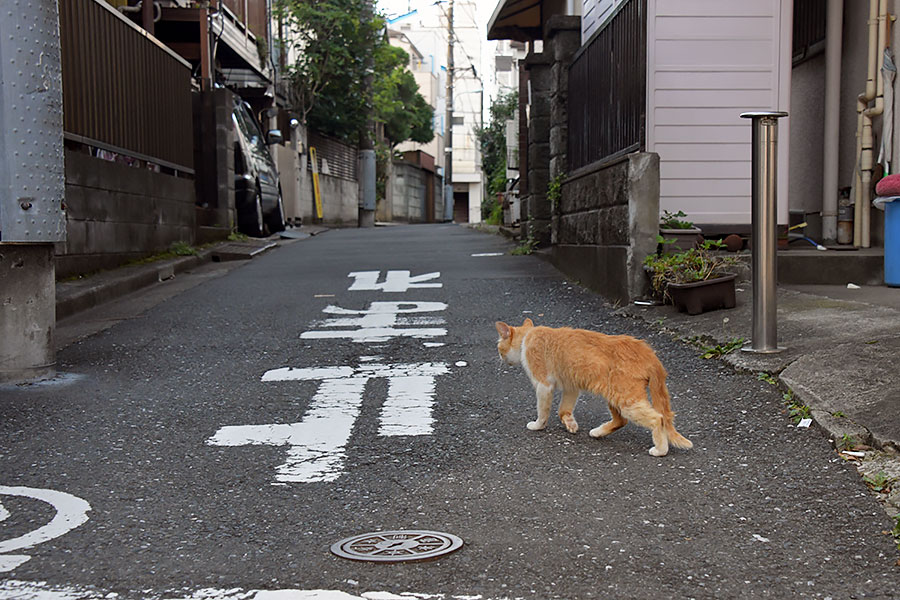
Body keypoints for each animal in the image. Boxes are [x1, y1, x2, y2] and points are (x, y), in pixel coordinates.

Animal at [496, 318, 692, 454]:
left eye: (499, 349)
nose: (499, 358)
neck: (527, 338)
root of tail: (648, 352)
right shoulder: (571, 386)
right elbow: (564, 409)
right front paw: (570, 423)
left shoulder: (543, 385)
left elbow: (543, 411)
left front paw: (538, 425)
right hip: (614, 396)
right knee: (621, 421)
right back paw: (598, 432)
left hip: (625, 399)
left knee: (658, 418)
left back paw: (660, 450)